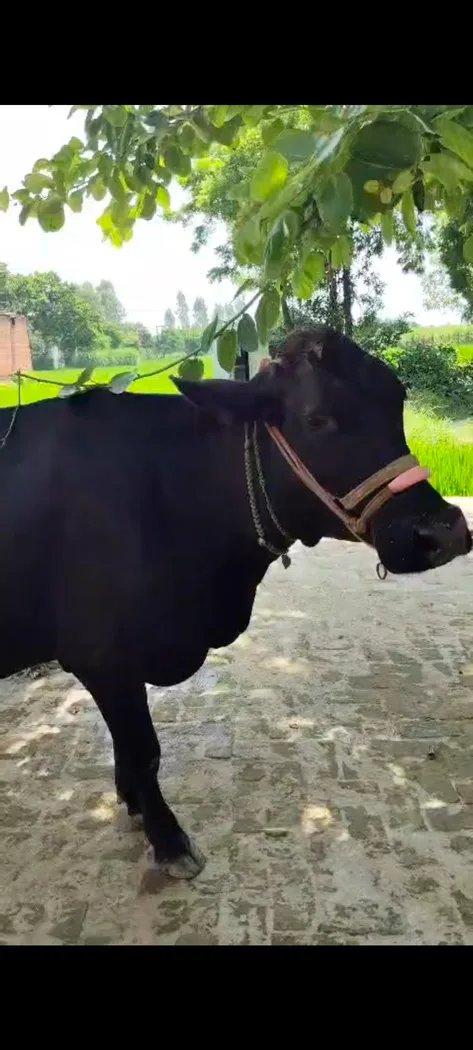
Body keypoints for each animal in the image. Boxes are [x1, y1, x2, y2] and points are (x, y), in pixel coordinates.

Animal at [0, 326, 470, 878]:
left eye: (396, 401)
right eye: (316, 418)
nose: (443, 532)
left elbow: (130, 749)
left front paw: (133, 801)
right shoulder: (102, 657)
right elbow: (143, 750)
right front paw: (168, 840)